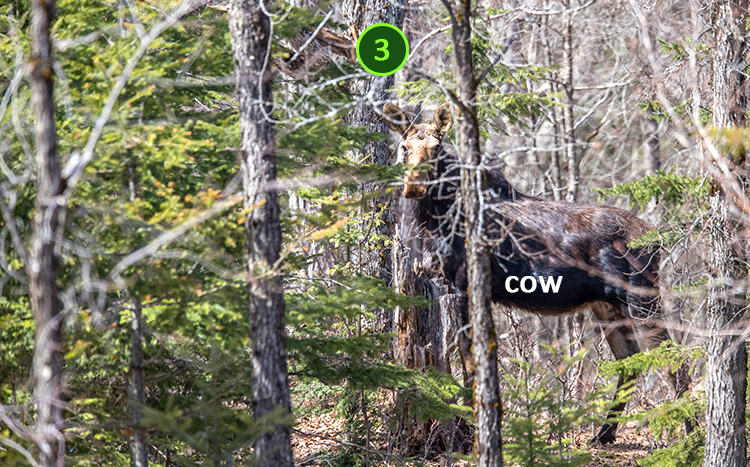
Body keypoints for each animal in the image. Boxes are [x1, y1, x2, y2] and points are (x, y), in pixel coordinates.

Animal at [383, 102, 688, 444]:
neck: (435, 219)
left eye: (436, 148)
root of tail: (656, 238)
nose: (414, 187)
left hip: (640, 296)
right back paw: (604, 433)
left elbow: (471, 363)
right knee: (629, 361)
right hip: (606, 304)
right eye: (404, 147)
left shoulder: (463, 285)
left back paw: (691, 438)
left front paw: (476, 430)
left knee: (674, 360)